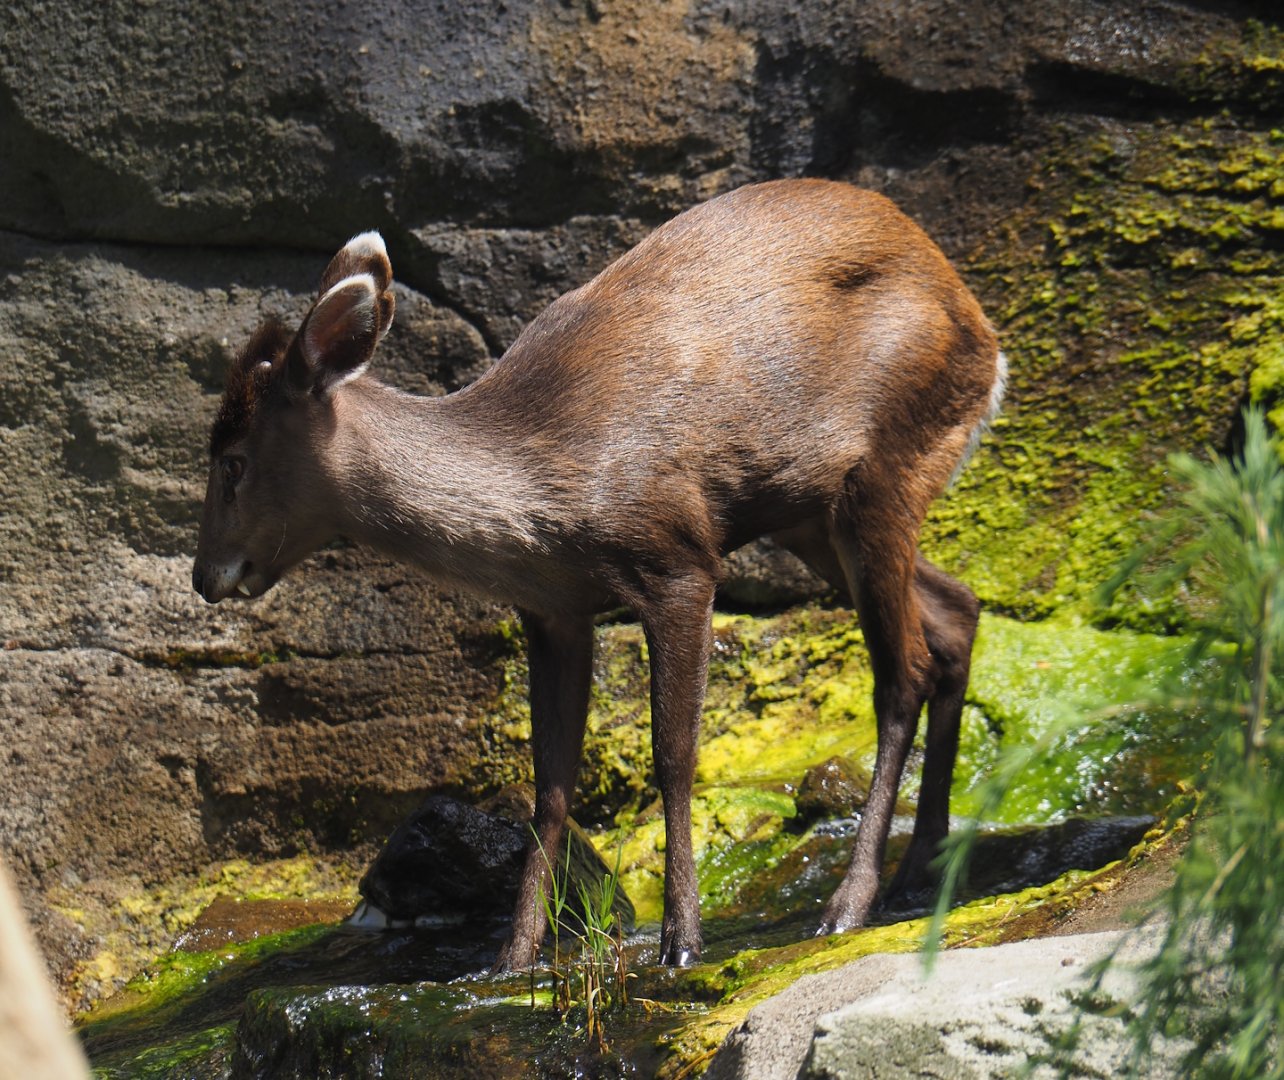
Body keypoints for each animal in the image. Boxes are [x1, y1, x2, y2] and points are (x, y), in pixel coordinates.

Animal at [192, 178, 1004, 969]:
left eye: (232, 461)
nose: (205, 576)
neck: (538, 489)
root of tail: (986, 337)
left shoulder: (678, 558)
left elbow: (673, 755)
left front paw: (681, 940)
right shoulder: (552, 608)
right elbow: (549, 790)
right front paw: (512, 959)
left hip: (884, 466)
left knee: (904, 670)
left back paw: (848, 903)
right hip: (814, 515)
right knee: (956, 611)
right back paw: (919, 870)